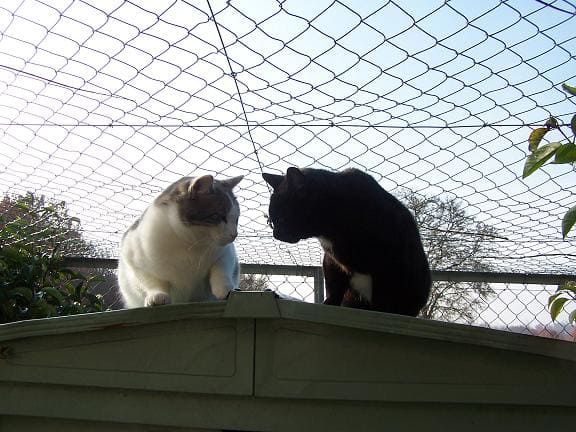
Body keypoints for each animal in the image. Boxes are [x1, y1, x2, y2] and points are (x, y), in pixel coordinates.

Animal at [117, 174, 243, 308]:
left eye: (236, 219)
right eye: (218, 216)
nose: (234, 235)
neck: (189, 243)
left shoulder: (226, 255)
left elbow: (221, 272)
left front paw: (227, 289)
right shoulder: (135, 260)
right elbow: (154, 283)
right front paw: (157, 296)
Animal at [264, 167, 430, 316]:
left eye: (282, 219)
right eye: (272, 221)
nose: (275, 234)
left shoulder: (387, 264)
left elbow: (382, 296)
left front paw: (381, 312)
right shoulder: (332, 262)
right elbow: (334, 287)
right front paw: (328, 304)